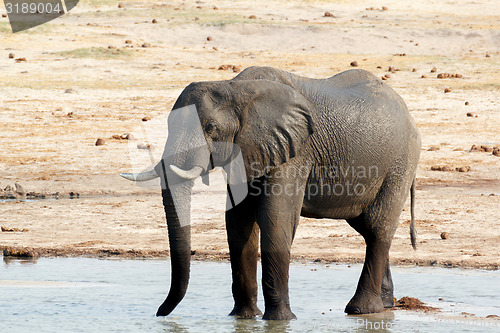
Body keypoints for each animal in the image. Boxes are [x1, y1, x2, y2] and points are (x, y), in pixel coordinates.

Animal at [121, 65, 422, 320]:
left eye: (211, 129)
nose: (160, 313)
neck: (236, 88)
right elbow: (238, 222)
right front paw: (242, 318)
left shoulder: (295, 151)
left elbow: (276, 219)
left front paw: (279, 320)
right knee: (366, 229)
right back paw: (385, 305)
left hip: (400, 163)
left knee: (377, 228)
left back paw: (361, 310)